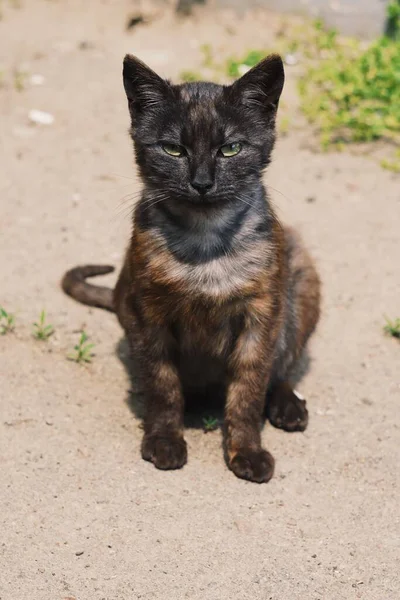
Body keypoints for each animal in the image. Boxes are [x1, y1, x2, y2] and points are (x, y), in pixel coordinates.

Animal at [62, 52, 320, 482]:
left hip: (302, 278)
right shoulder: (149, 316)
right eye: (172, 149)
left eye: (231, 148)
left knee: (281, 369)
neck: (205, 244)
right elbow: (163, 386)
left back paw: (288, 407)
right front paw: (164, 441)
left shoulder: (260, 318)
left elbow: (248, 390)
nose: (201, 182)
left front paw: (246, 452)